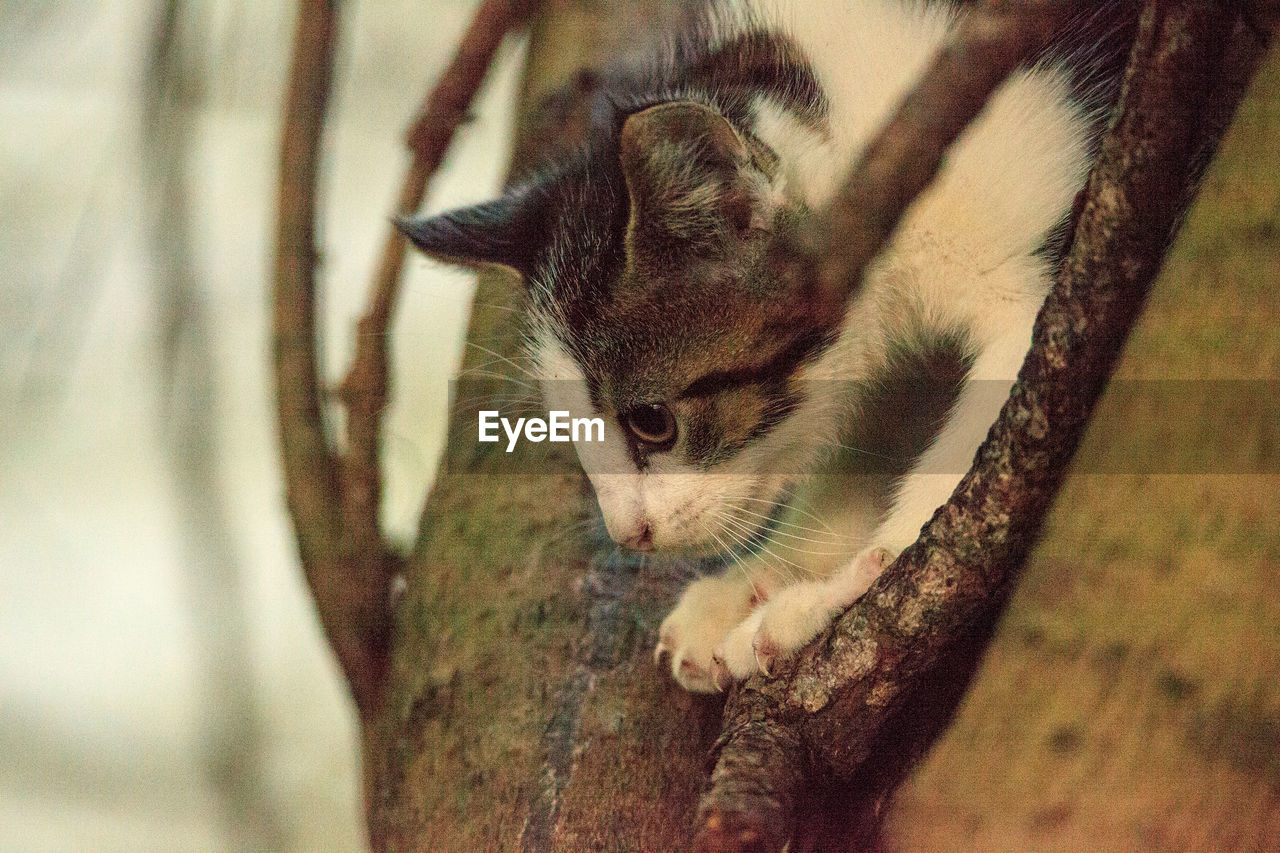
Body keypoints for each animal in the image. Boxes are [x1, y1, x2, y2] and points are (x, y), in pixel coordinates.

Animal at [399, 0, 1131, 691]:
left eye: (653, 422)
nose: (628, 535)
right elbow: (872, 433)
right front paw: (764, 580)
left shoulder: (1034, 286)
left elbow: (983, 462)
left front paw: (843, 589)